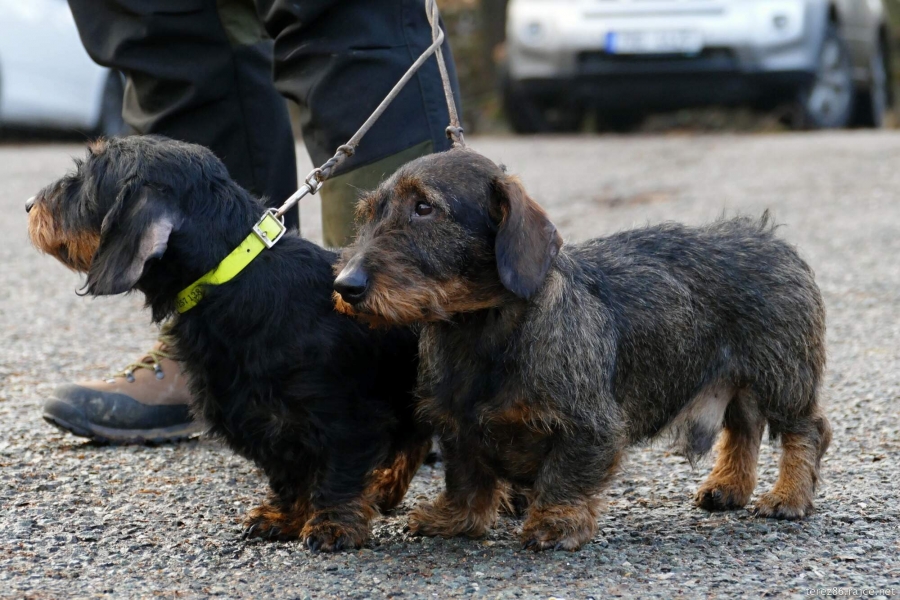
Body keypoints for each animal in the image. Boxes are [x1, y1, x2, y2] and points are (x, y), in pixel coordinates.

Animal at [27, 135, 431, 552]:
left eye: (85, 178)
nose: (28, 205)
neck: (233, 278)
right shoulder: (259, 420)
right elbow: (289, 474)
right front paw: (283, 516)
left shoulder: (345, 417)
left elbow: (338, 473)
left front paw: (332, 524)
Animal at [332, 147, 832, 551]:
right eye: (369, 213)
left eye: (424, 207)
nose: (344, 286)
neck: (482, 332)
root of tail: (769, 237)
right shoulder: (458, 424)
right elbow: (467, 477)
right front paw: (455, 519)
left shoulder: (589, 427)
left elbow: (563, 476)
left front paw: (555, 523)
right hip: (737, 380)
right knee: (744, 429)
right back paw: (728, 486)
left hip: (782, 376)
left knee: (807, 431)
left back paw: (788, 496)